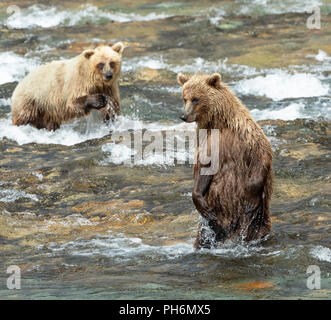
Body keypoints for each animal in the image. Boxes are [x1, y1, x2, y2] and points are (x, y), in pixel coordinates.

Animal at [178, 73, 274, 250]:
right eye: (184, 98)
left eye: (195, 99)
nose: (183, 116)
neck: (219, 123)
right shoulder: (207, 142)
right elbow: (203, 168)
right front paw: (201, 203)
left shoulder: (246, 136)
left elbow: (261, 157)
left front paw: (249, 199)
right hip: (208, 225)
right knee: (205, 234)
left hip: (258, 219)